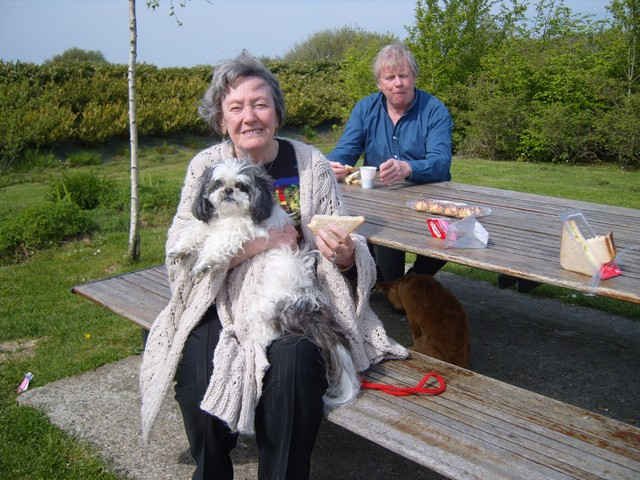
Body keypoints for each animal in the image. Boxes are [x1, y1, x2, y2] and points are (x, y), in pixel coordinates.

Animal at [169, 158, 360, 408]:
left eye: (241, 186)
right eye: (218, 183)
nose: (228, 190)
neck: (231, 215)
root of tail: (307, 303)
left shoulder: (242, 229)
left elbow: (220, 240)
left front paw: (205, 262)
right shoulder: (212, 222)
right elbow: (198, 228)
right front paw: (181, 248)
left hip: (265, 307)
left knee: (269, 332)